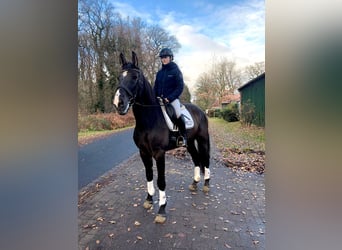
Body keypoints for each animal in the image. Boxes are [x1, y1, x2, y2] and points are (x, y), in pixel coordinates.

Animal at [113, 51, 210, 224]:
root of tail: (200, 111)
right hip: (190, 143)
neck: (149, 120)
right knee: (196, 159)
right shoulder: (143, 152)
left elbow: (161, 180)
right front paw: (149, 200)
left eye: (135, 77)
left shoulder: (159, 153)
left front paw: (162, 210)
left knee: (205, 159)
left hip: (203, 140)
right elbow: (149, 176)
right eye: (119, 77)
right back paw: (195, 183)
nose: (119, 103)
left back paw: (206, 184)